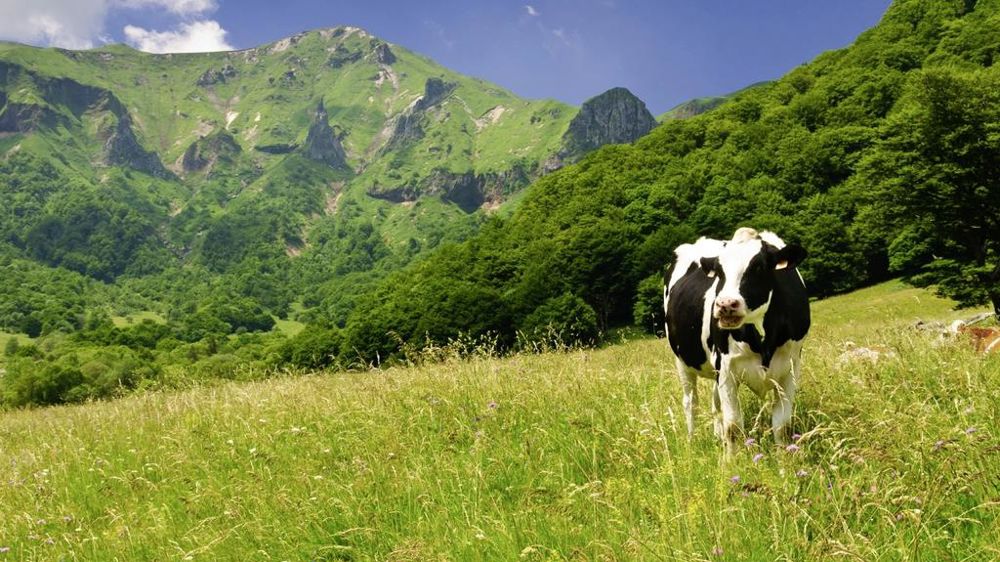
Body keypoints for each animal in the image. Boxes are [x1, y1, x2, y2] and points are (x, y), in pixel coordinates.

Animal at [663, 228, 810, 454]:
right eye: (720, 271)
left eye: (758, 267)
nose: (725, 304)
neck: (763, 338)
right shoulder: (726, 369)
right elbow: (732, 426)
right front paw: (732, 461)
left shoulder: (791, 368)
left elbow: (782, 425)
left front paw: (784, 457)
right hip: (681, 360)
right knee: (690, 402)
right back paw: (691, 441)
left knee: (715, 402)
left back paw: (716, 435)